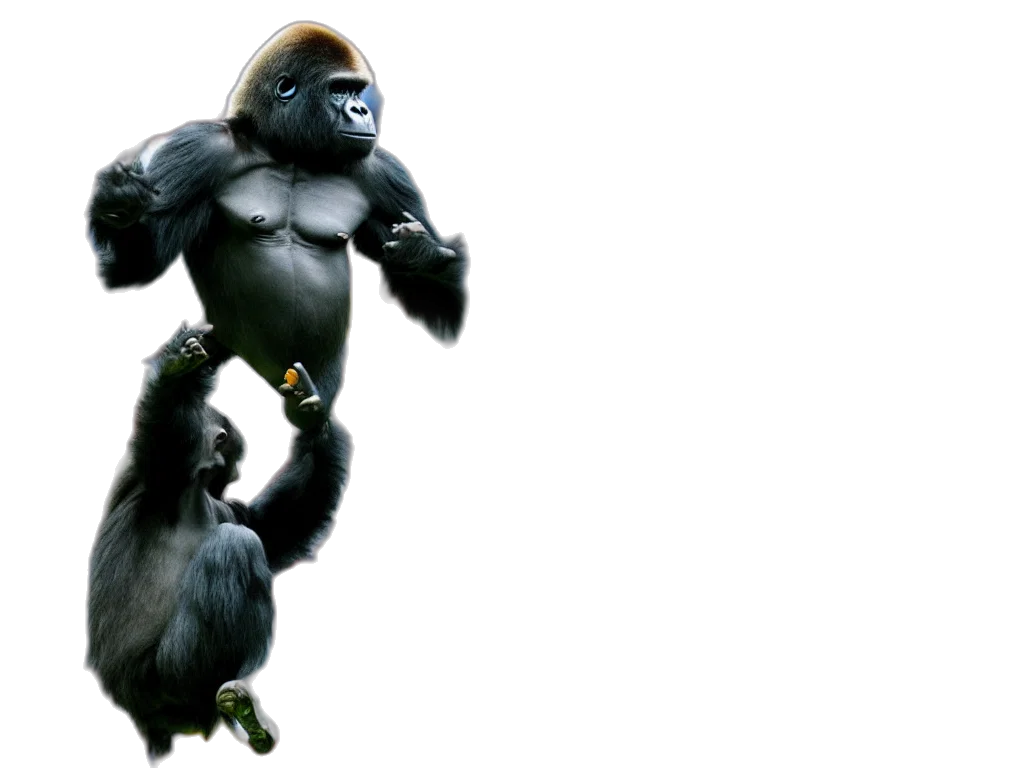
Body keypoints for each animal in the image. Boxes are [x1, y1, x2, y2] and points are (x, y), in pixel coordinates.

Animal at [85, 323, 352, 765]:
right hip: (164, 675)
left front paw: (309, 411)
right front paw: (179, 363)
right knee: (234, 547)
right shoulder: (161, 460)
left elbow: (280, 523)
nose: (234, 476)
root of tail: (146, 720)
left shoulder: (230, 509)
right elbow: (163, 415)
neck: (191, 485)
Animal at [86, 21, 470, 433]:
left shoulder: (385, 174)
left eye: (355, 91)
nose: (362, 109)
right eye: (339, 90)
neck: (288, 148)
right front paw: (118, 205)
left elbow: (447, 308)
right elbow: (136, 266)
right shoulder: (196, 148)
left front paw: (422, 256)